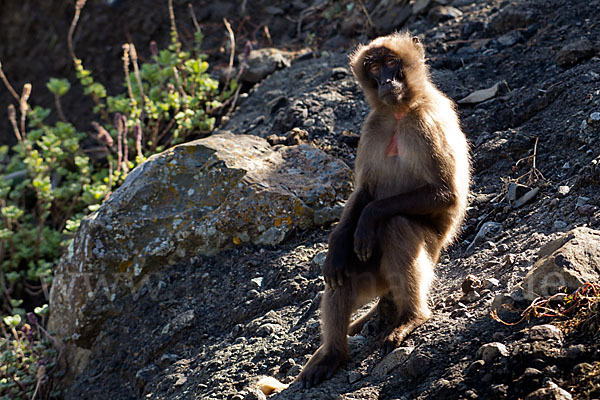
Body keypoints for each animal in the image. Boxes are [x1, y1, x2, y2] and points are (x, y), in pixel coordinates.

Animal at [298, 31, 472, 388]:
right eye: (374, 67)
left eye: (392, 62)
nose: (387, 81)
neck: (399, 113)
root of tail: (388, 293)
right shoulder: (373, 126)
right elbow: (364, 193)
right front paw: (336, 245)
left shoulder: (428, 121)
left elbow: (444, 195)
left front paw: (369, 219)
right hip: (374, 278)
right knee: (341, 278)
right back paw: (333, 354)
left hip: (427, 253)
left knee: (398, 226)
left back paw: (412, 317)